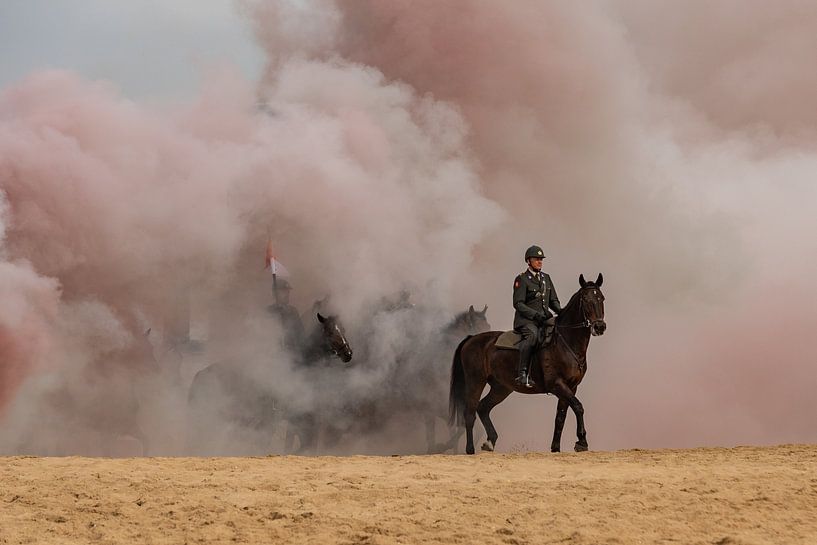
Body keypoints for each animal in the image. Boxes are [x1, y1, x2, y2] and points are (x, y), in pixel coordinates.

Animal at [450, 274, 604, 452]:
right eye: (586, 299)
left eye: (601, 298)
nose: (600, 327)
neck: (565, 342)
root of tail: (471, 338)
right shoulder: (557, 384)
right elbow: (578, 407)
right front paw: (581, 442)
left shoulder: (571, 387)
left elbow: (561, 417)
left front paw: (556, 448)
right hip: (476, 381)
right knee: (470, 413)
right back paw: (470, 450)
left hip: (501, 388)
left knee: (483, 407)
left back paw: (490, 442)